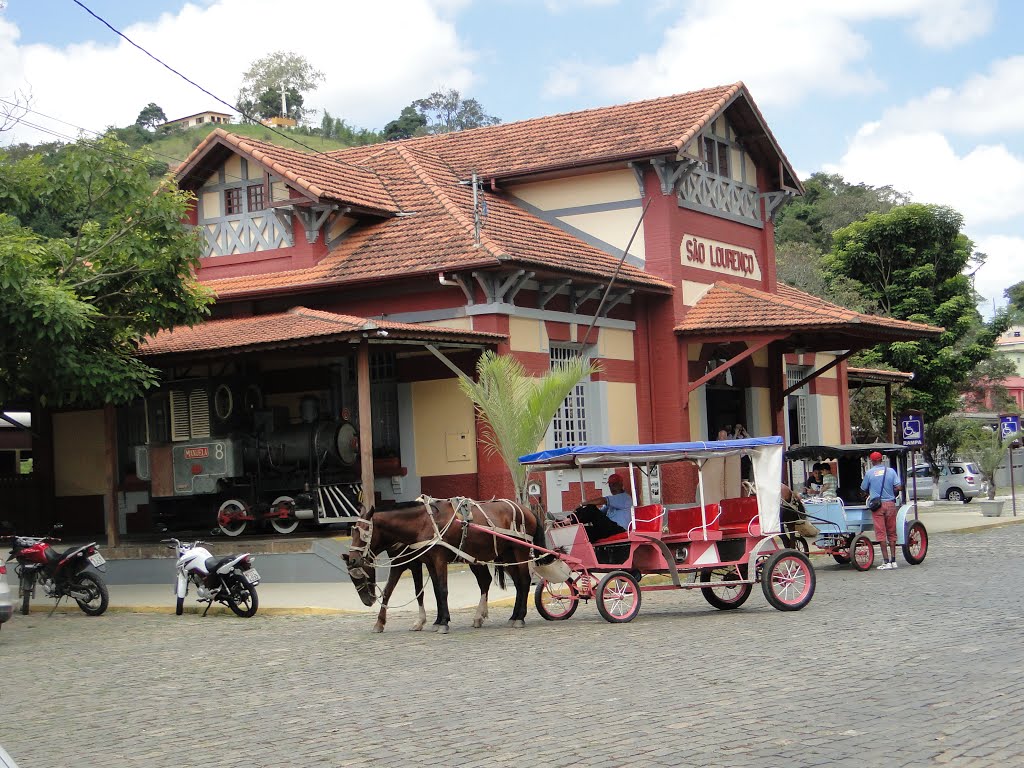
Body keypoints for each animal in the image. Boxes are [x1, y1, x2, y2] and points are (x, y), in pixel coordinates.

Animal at [342, 495, 548, 634]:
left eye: (363, 532)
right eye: (352, 531)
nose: (352, 559)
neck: (423, 523)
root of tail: (527, 510)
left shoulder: (435, 559)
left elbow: (441, 589)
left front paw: (443, 623)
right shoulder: (427, 561)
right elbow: (431, 590)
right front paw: (437, 621)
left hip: (519, 551)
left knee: (523, 581)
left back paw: (519, 617)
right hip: (505, 556)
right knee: (508, 583)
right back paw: (507, 616)